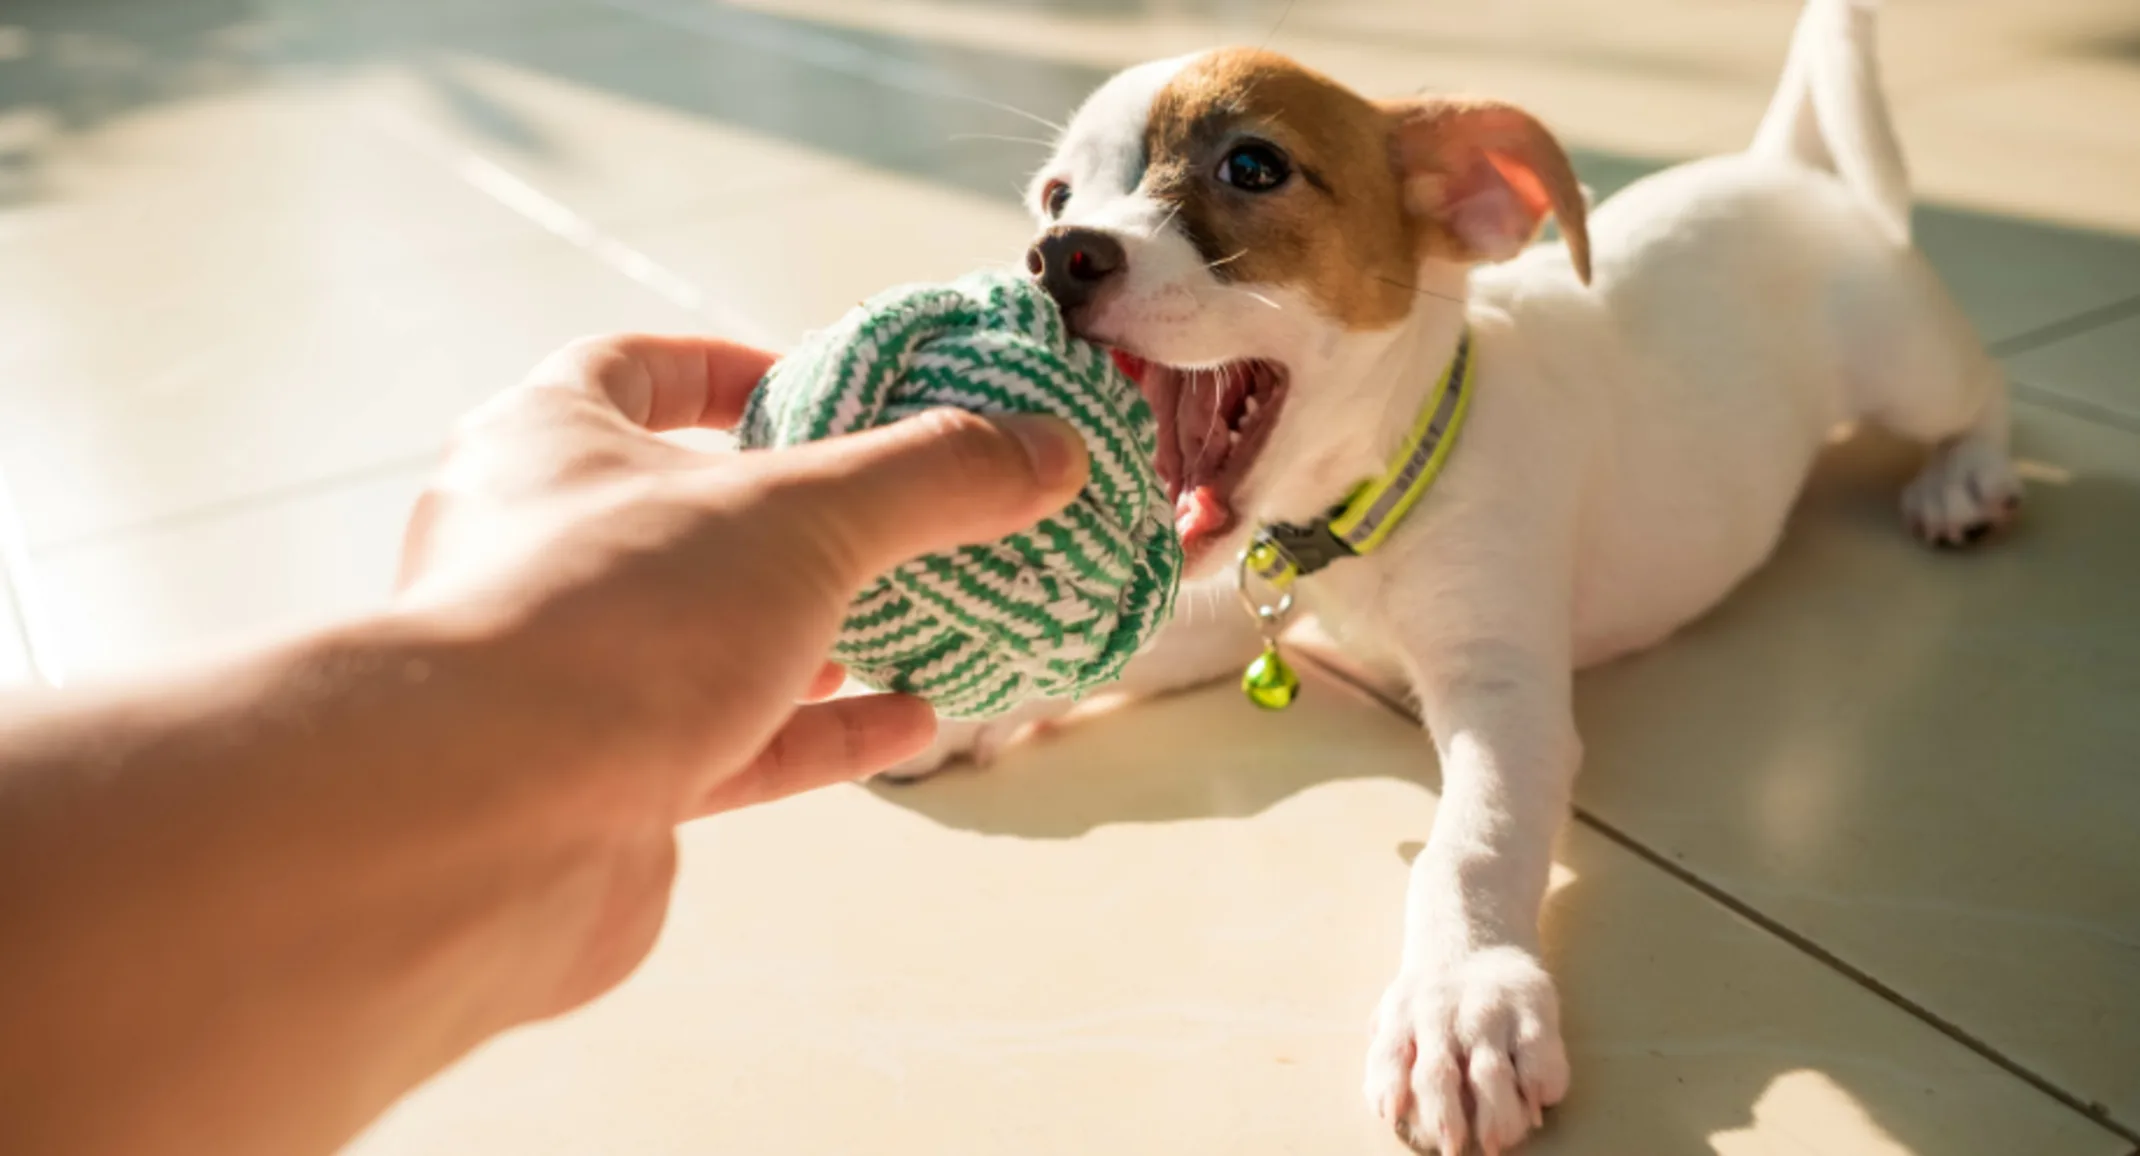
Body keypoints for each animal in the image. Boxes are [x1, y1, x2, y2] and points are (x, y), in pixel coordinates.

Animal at [881, 4, 2003, 1147]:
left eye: (1252, 165)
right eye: (1057, 196)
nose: (1053, 257)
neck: (1370, 499)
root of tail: (1785, 173)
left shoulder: (1502, 695)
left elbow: (1470, 845)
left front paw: (1461, 1001)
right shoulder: (1227, 609)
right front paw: (947, 711)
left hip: (1906, 367)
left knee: (1983, 393)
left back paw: (1964, 477)